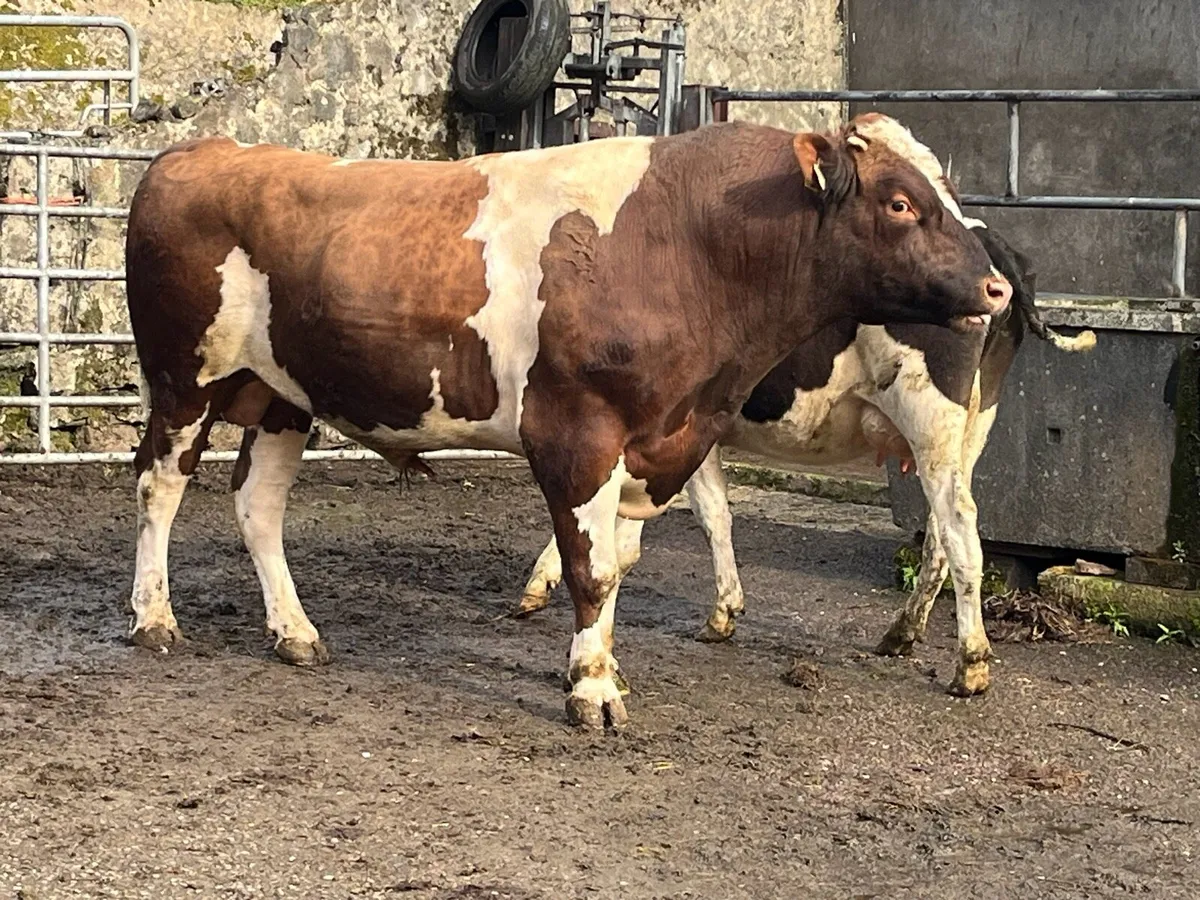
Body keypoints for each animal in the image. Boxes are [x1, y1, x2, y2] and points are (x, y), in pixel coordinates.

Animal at [123, 112, 1011, 729]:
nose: (995, 288)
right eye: (900, 202)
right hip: (184, 378)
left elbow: (618, 559)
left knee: (258, 505)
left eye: (944, 192)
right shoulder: (578, 431)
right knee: (158, 488)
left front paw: (603, 666)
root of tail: (203, 151)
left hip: (281, 395)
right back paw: (155, 618)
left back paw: (294, 631)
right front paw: (591, 688)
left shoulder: (661, 438)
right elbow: (596, 570)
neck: (689, 244)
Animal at [515, 219, 1095, 697]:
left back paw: (970, 664)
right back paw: (901, 633)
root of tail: (990, 241)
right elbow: (699, 515)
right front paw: (723, 611)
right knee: (940, 534)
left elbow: (647, 524)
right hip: (973, 423)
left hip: (929, 414)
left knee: (959, 529)